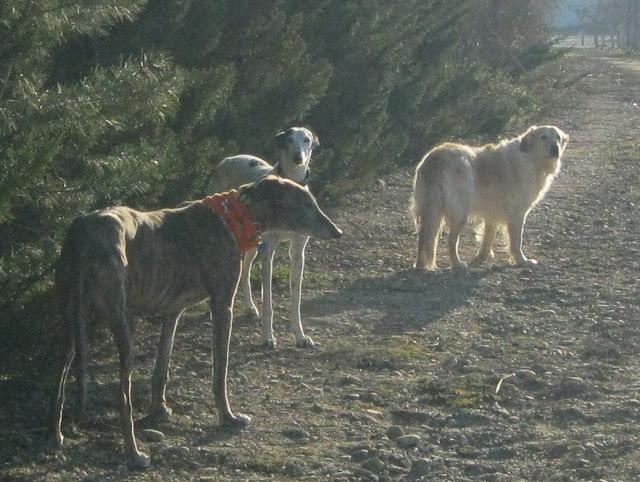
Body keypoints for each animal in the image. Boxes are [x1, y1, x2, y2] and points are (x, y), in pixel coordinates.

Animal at [209, 126, 320, 348]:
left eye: (307, 140)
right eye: (289, 139)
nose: (298, 157)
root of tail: (227, 159)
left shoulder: (298, 252)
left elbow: (296, 298)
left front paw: (300, 336)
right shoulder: (268, 251)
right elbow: (268, 300)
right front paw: (268, 336)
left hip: (252, 244)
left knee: (245, 270)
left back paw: (250, 308)